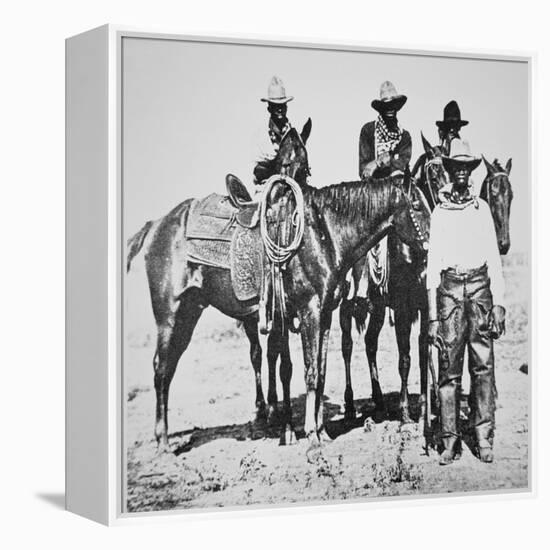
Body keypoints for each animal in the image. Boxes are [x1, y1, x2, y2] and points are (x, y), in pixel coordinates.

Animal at [128, 126, 432, 458]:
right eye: (417, 206)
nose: (428, 250)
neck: (323, 232)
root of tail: (156, 225)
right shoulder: (310, 310)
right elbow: (309, 371)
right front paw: (311, 437)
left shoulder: (325, 314)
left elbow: (320, 370)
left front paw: (322, 432)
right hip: (168, 315)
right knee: (160, 368)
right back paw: (163, 443)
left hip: (188, 312)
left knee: (169, 368)